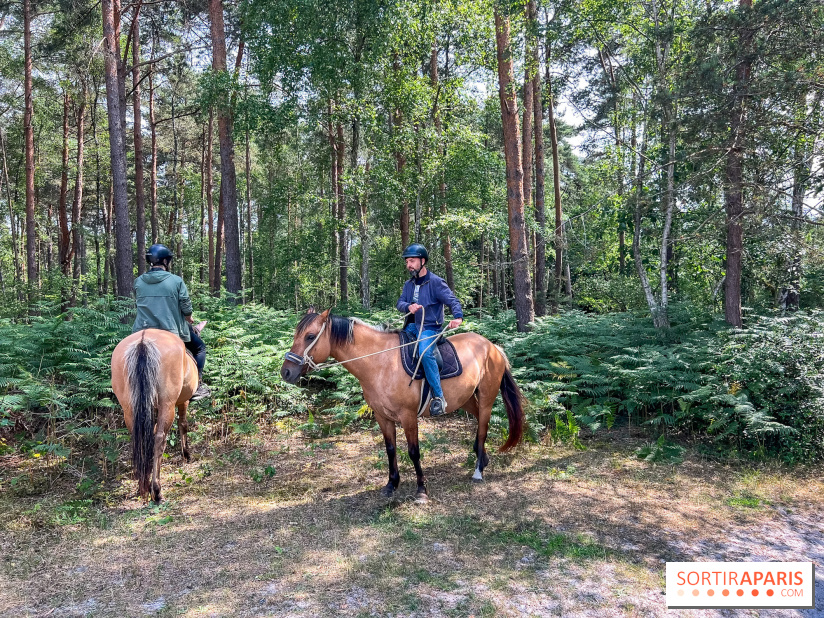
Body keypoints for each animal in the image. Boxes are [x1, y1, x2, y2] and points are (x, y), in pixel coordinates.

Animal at [111, 324, 204, 502]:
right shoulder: (183, 402)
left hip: (130, 408)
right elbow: (183, 425)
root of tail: (143, 342)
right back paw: (157, 490)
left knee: (140, 439)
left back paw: (143, 487)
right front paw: (187, 455)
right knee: (160, 439)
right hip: (167, 405)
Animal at [280, 309, 526, 502]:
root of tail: (492, 346)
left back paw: (478, 471)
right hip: (465, 400)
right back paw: (482, 459)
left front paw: (421, 490)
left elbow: (414, 452)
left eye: (310, 336)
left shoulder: (408, 417)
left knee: (483, 428)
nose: (286, 372)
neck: (380, 363)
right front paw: (391, 484)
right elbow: (390, 450)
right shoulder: (382, 416)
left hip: (486, 398)